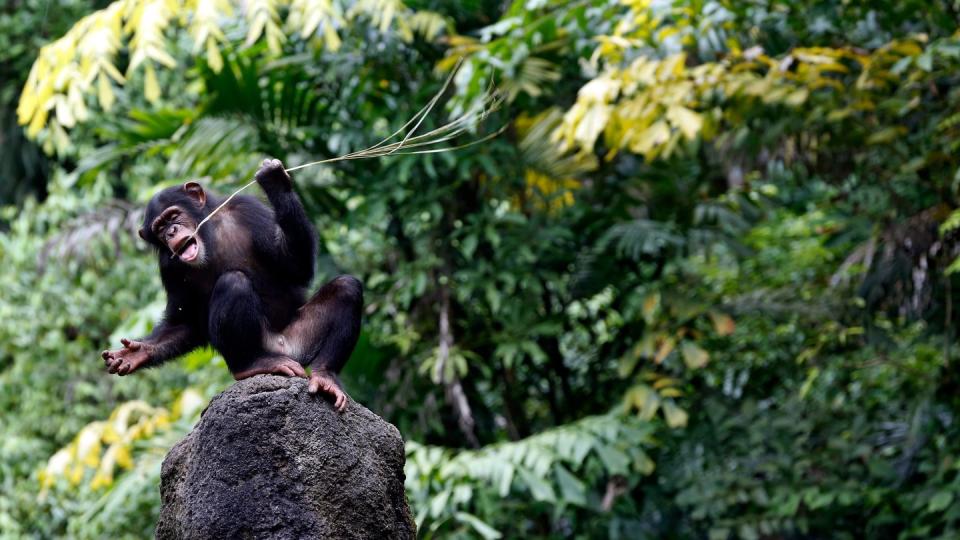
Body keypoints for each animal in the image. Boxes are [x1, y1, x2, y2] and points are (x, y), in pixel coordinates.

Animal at [100, 158, 364, 412]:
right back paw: (252, 365)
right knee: (234, 283)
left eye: (173, 216)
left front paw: (275, 182)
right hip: (264, 347)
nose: (172, 231)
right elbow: (186, 321)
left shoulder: (248, 209)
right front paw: (137, 352)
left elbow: (296, 268)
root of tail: (284, 350)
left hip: (301, 340)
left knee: (347, 288)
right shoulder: (168, 265)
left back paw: (325, 376)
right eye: (160, 228)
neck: (209, 236)